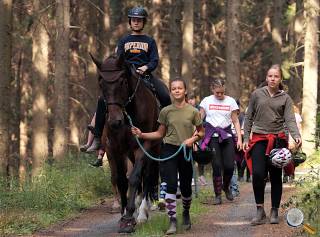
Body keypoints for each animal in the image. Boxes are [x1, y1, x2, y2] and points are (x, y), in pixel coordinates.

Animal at [90, 53, 161, 233]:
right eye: (101, 82)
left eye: (122, 81)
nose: (115, 121)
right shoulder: (114, 148)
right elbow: (121, 179)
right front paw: (122, 215)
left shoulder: (144, 145)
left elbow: (135, 178)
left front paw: (129, 218)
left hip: (154, 149)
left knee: (147, 176)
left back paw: (142, 213)